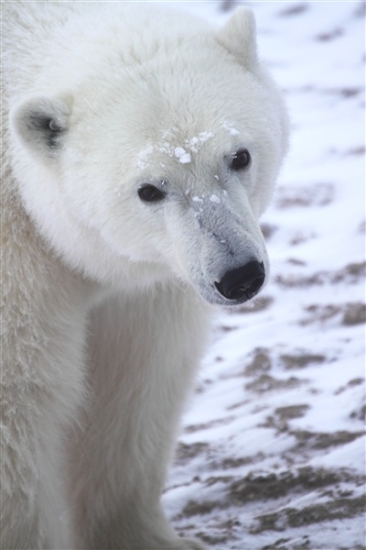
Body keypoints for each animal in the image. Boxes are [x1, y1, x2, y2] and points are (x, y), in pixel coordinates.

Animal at [2, 2, 288, 548]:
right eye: (149, 189)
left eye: (238, 156)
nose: (239, 275)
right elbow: (19, 402)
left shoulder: (147, 284)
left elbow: (135, 377)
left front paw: (147, 538)